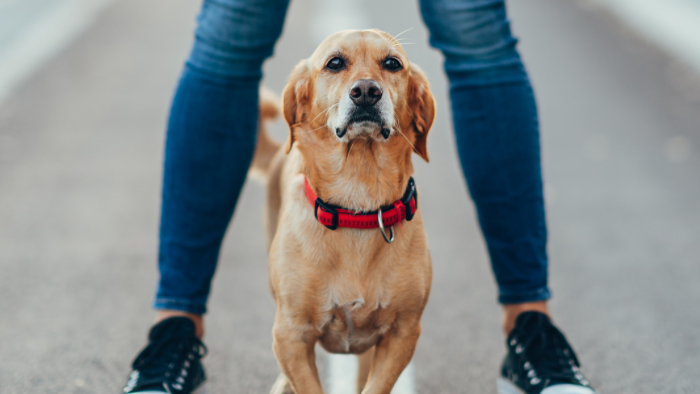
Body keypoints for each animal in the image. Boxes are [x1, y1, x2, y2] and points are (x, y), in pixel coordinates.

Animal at [252, 28, 434, 394]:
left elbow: (374, 386)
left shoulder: (403, 333)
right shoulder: (290, 336)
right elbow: (306, 384)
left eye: (392, 63)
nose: (366, 91)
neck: (357, 205)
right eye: (335, 63)